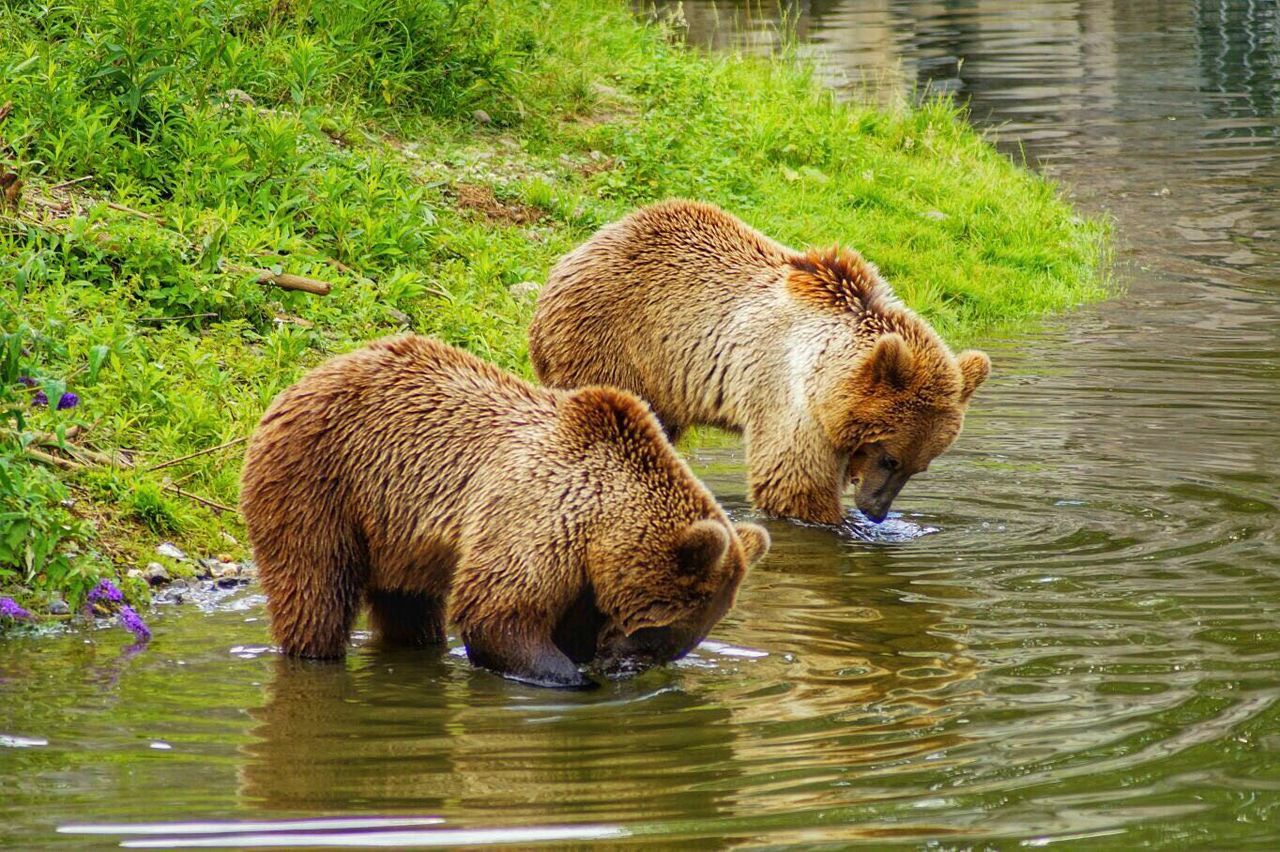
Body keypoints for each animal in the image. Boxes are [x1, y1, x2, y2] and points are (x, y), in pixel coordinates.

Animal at [240, 332, 768, 685]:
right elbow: (497, 613)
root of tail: (301, 381)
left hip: (397, 533)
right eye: (658, 632)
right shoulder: (537, 518)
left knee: (408, 605)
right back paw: (313, 651)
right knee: (316, 588)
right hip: (321, 485)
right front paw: (571, 676)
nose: (623, 668)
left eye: (674, 640)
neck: (599, 522)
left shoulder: (581, 570)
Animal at [529, 198, 988, 524]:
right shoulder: (790, 398)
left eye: (920, 466)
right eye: (890, 457)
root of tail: (576, 252)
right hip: (612, 347)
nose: (876, 512)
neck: (829, 378)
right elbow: (793, 483)